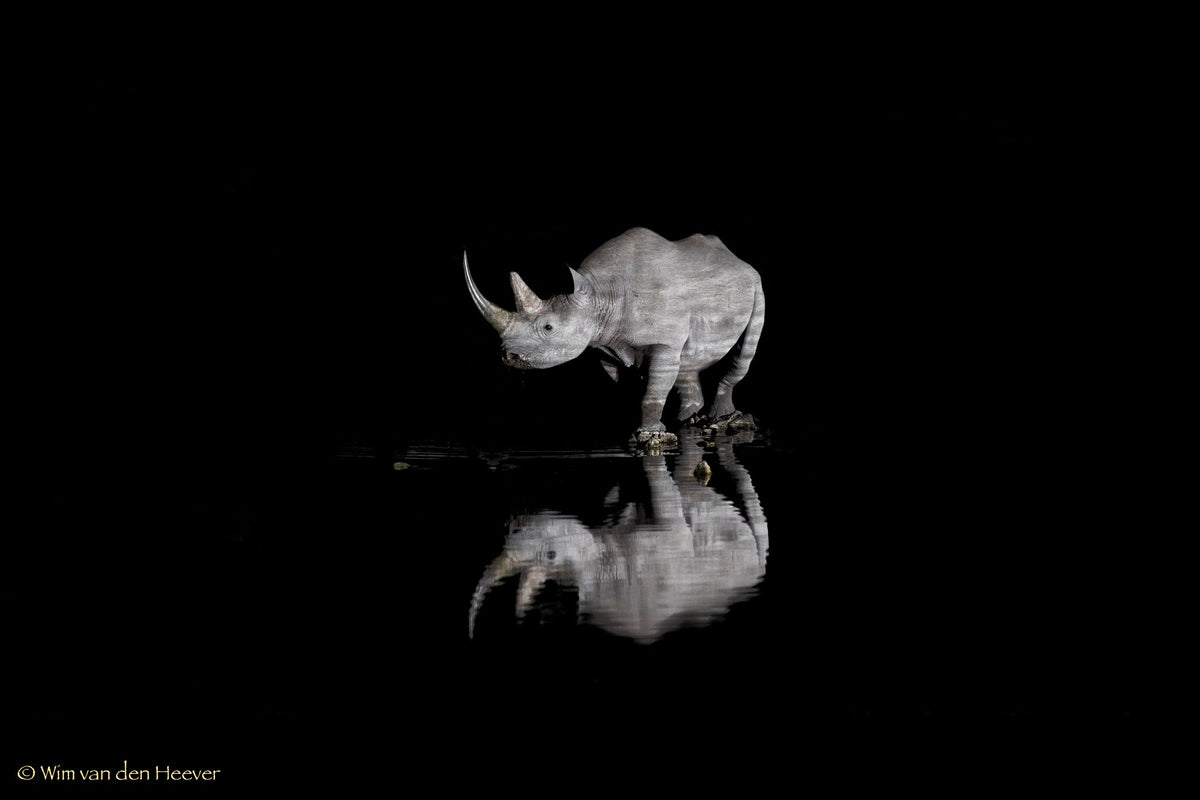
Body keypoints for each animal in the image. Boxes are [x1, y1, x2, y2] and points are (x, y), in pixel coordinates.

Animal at [464, 227, 765, 441]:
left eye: (548, 328)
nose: (508, 356)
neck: (598, 296)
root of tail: (737, 259)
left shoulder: (663, 341)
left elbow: (653, 390)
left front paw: (650, 433)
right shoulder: (605, 346)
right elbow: (633, 384)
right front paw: (644, 430)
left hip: (757, 286)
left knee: (745, 350)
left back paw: (722, 420)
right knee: (687, 362)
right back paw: (687, 422)